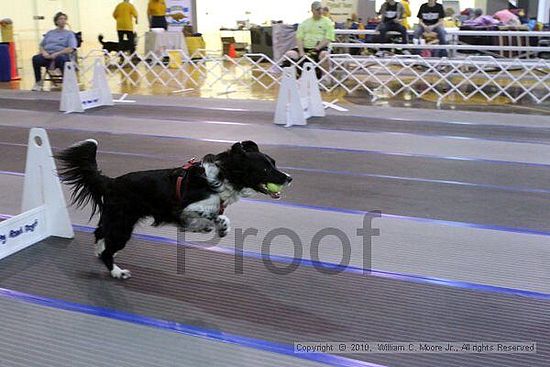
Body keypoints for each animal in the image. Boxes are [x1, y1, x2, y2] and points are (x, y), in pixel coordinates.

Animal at [56, 139, 294, 280]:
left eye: (274, 163)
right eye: (265, 169)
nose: (289, 178)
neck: (224, 175)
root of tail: (111, 182)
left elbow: (214, 218)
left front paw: (211, 227)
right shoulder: (185, 207)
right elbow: (214, 214)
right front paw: (218, 225)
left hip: (114, 219)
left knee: (99, 233)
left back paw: (100, 251)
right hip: (122, 225)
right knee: (107, 248)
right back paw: (117, 271)